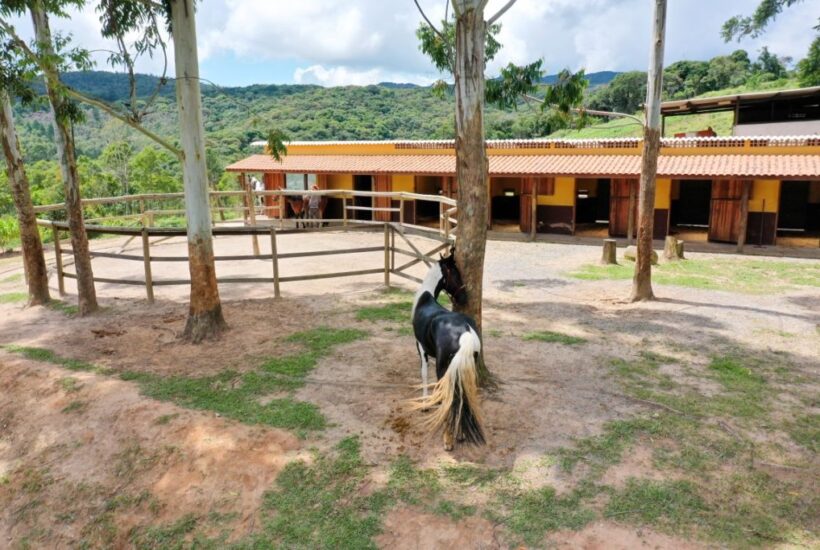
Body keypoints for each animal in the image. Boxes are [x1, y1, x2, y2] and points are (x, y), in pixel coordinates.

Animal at [414, 252, 484, 450]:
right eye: (455, 273)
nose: (463, 297)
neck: (425, 297)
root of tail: (465, 331)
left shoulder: (420, 348)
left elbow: (424, 375)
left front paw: (425, 404)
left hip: (444, 366)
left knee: (451, 397)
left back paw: (448, 439)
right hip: (466, 367)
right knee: (462, 395)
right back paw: (459, 434)